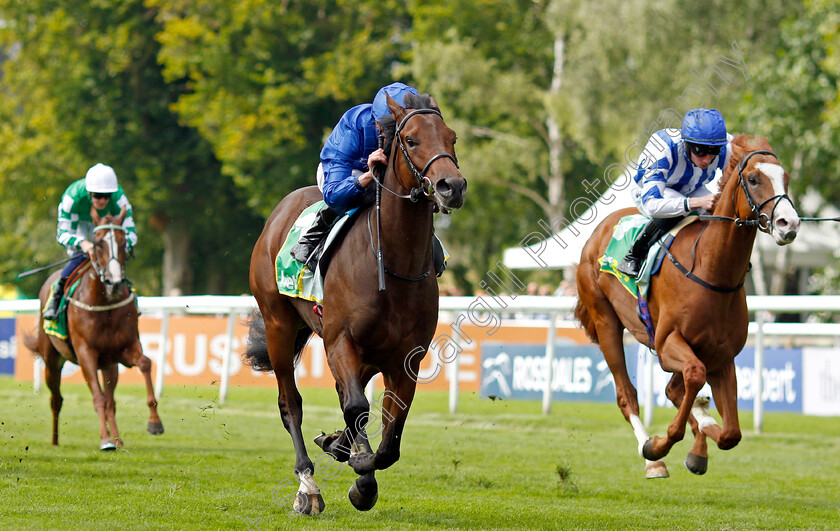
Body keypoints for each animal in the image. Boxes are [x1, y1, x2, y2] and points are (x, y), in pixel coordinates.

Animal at [25, 210, 164, 450]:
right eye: (98, 243)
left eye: (124, 242)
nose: (115, 283)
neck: (103, 304)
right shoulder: (85, 353)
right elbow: (98, 397)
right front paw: (105, 440)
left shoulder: (125, 349)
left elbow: (145, 363)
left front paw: (154, 422)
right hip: (52, 360)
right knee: (57, 399)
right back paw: (55, 440)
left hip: (109, 365)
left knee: (111, 401)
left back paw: (118, 439)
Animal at [244, 93, 466, 516]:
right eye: (410, 139)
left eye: (452, 137)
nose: (453, 186)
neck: (393, 263)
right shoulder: (341, 340)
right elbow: (358, 409)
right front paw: (360, 472)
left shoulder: (405, 358)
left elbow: (390, 431)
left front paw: (354, 462)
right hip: (280, 324)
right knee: (291, 403)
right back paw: (308, 487)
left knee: (346, 396)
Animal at [576, 136, 800, 478]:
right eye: (753, 179)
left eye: (785, 178)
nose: (789, 223)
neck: (712, 271)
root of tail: (598, 230)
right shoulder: (667, 343)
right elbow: (694, 377)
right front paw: (657, 445)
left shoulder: (722, 357)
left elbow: (731, 434)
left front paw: (701, 439)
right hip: (605, 321)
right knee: (627, 395)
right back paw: (652, 460)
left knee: (673, 390)